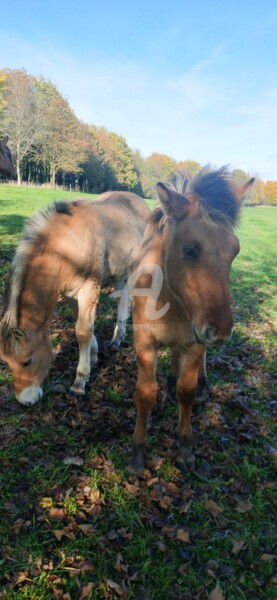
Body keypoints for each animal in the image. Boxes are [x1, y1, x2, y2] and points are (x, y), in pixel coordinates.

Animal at [0, 192, 150, 408]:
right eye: (6, 362)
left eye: (26, 361)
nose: (25, 401)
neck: (66, 245)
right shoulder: (70, 295)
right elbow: (86, 327)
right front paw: (94, 356)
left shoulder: (88, 289)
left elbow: (82, 332)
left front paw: (80, 382)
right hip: (121, 274)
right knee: (123, 300)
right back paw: (117, 339)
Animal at [128, 165, 253, 474]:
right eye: (189, 249)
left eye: (235, 251)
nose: (220, 332)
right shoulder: (144, 341)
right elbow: (145, 393)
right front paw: (137, 453)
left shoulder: (195, 341)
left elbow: (188, 391)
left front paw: (185, 448)